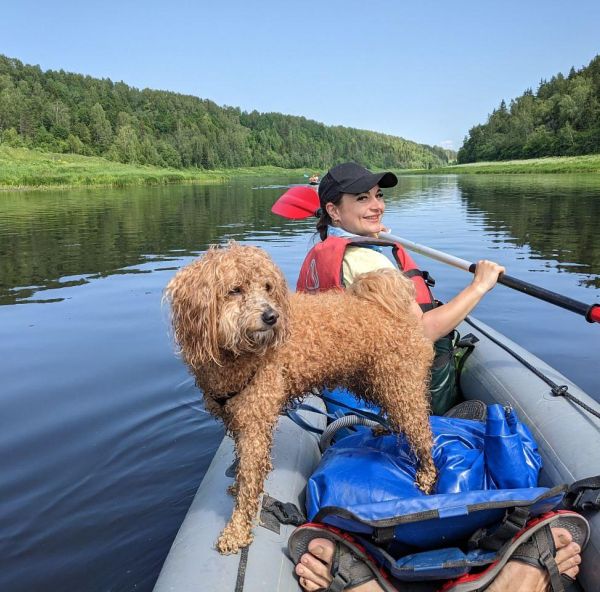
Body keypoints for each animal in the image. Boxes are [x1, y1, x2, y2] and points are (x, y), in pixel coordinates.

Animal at [165, 240, 436, 556]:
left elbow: (249, 475)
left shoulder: (255, 422)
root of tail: (388, 307)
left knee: (422, 432)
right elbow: (242, 467)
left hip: (401, 385)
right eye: (235, 289)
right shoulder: (238, 418)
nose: (271, 317)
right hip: (374, 381)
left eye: (268, 287)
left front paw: (237, 530)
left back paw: (427, 475)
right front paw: (238, 489)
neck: (239, 354)